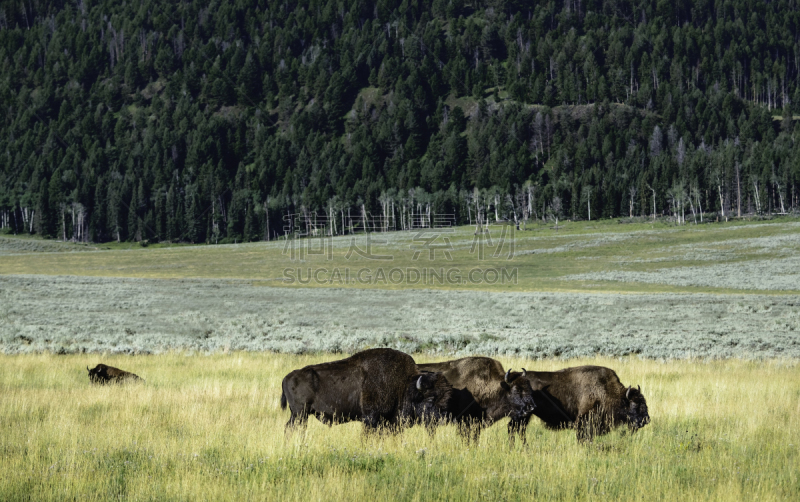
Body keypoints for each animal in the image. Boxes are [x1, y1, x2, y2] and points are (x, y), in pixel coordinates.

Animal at [282, 348, 456, 434]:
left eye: (448, 398)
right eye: (430, 398)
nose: (441, 419)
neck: (405, 384)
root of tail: (287, 377)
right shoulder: (371, 418)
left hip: (299, 415)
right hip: (300, 414)